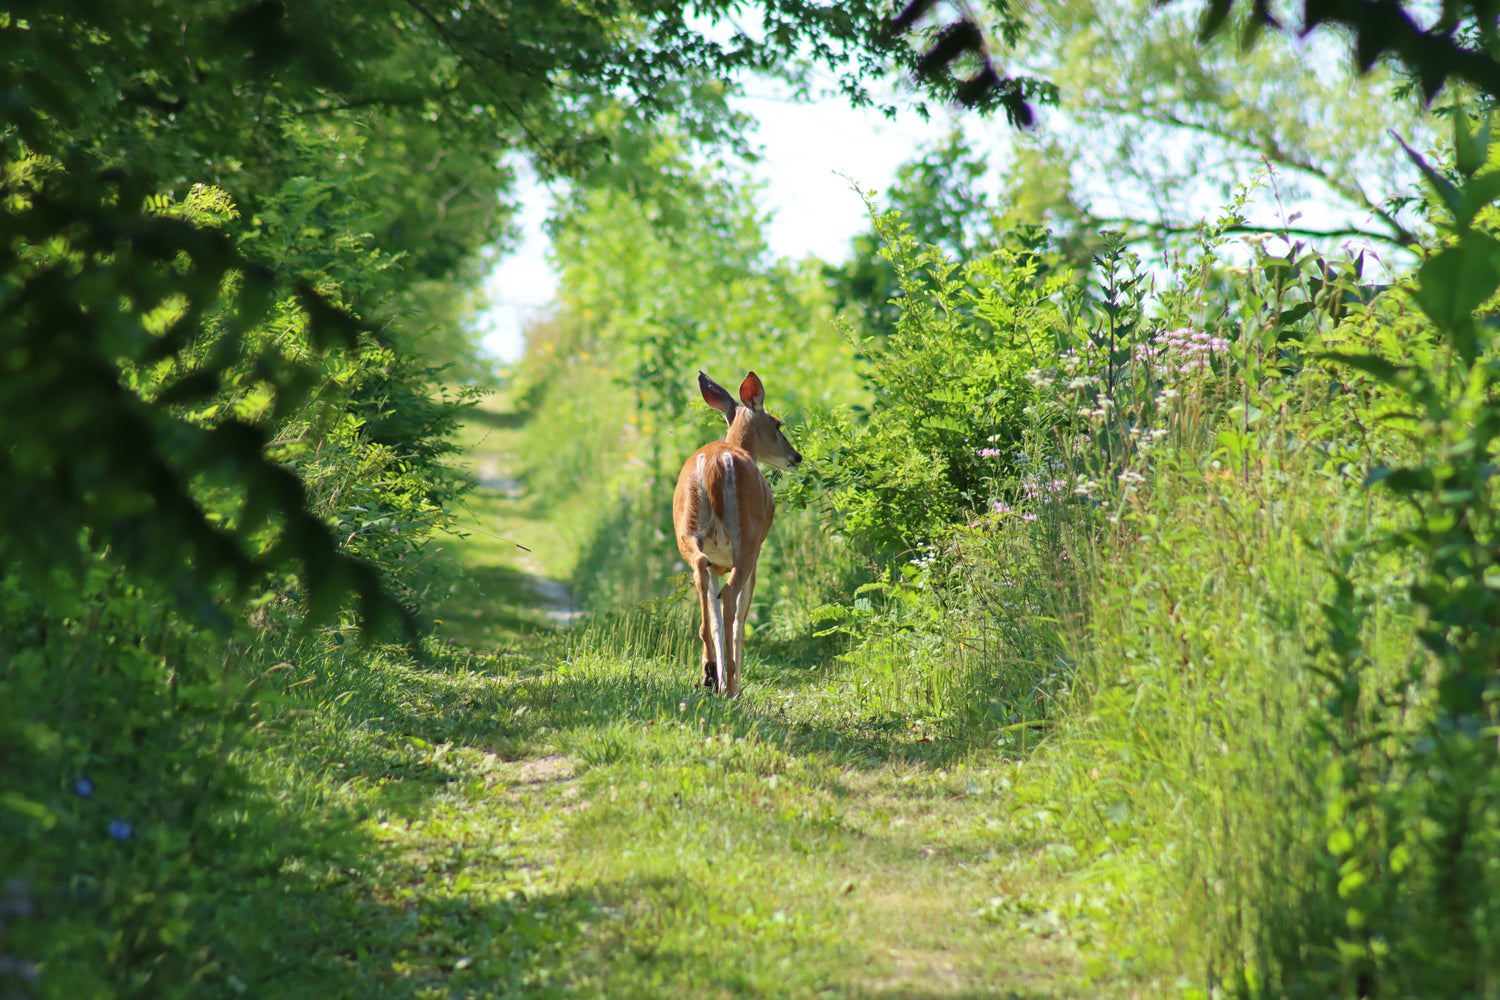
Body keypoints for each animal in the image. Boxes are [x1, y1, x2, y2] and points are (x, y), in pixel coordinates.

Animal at [675, 371, 804, 701]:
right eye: (777, 424)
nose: (796, 456)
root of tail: (715, 465)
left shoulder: (717, 561)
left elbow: (716, 614)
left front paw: (717, 674)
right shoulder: (756, 553)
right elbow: (741, 617)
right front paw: (734, 680)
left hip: (688, 532)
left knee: (702, 577)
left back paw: (709, 672)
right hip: (747, 538)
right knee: (731, 597)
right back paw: (730, 683)